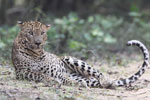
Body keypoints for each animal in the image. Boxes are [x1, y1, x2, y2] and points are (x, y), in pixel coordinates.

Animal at [11, 20, 149, 88]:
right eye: (30, 33)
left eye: (42, 33)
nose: (38, 43)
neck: (36, 53)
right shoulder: (22, 71)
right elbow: (40, 74)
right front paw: (53, 81)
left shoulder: (58, 71)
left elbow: (62, 77)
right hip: (82, 75)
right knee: (90, 80)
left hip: (71, 59)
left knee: (98, 73)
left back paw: (107, 82)